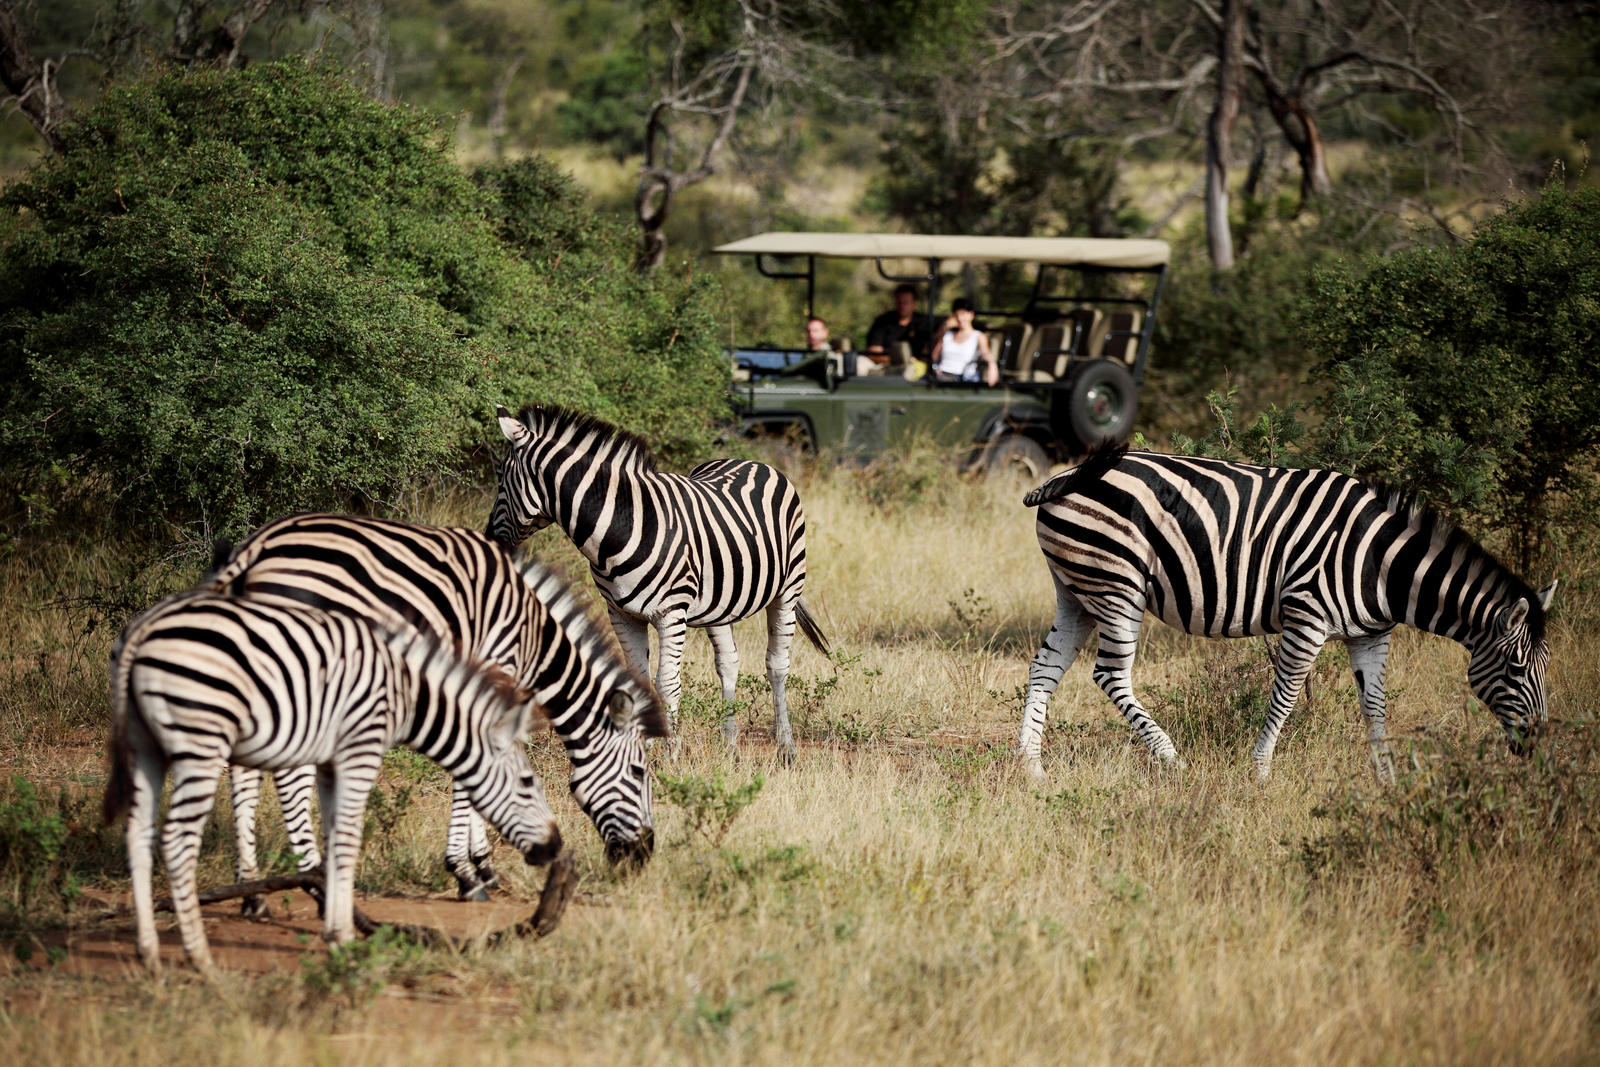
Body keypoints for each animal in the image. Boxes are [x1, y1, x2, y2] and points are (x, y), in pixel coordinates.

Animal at [103, 588, 560, 979]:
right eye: (527, 783)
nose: (555, 847)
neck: (408, 689)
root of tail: (143, 628)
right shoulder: (361, 746)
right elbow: (348, 840)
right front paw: (342, 936)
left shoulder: (328, 762)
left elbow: (333, 836)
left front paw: (335, 927)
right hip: (201, 740)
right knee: (178, 840)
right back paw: (200, 958)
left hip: (145, 747)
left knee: (138, 833)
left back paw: (149, 954)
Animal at [206, 511, 668, 908]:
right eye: (638, 773)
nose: (645, 855)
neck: (532, 634)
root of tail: (254, 549)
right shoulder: (495, 665)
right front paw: (467, 873)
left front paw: (483, 865)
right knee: (289, 773)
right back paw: (315, 883)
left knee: (245, 770)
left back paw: (252, 892)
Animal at [486, 404, 838, 764]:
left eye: (500, 479)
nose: (489, 539)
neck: (620, 526)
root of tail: (754, 462)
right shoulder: (621, 614)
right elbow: (637, 681)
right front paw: (642, 750)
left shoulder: (672, 613)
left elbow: (667, 683)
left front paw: (670, 755)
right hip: (721, 603)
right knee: (728, 663)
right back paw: (730, 746)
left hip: (788, 589)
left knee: (777, 666)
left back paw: (786, 747)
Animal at [1017, 447, 1555, 780]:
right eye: (1516, 669)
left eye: (1544, 669)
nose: (1538, 746)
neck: (1382, 564)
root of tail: (1065, 475)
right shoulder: (1307, 616)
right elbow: (1286, 697)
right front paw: (1260, 771)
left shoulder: (1371, 634)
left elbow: (1375, 707)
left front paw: (1386, 779)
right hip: (1116, 585)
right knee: (1110, 674)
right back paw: (1172, 761)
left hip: (1076, 590)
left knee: (1045, 667)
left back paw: (1031, 768)